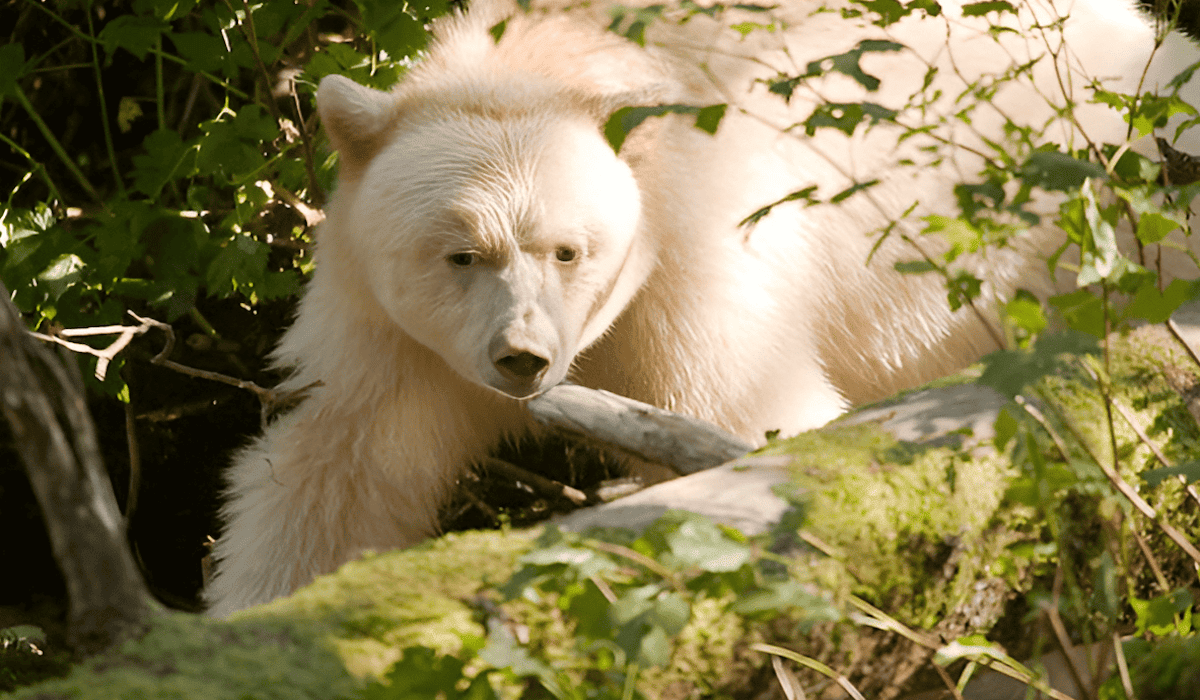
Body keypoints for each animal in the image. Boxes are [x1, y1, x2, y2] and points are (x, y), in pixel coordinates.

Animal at [204, 0, 1190, 614]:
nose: (522, 358)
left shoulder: (696, 254)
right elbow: (340, 469)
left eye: (569, 249)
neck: (563, 57)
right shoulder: (391, 328)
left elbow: (758, 415)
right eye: (461, 254)